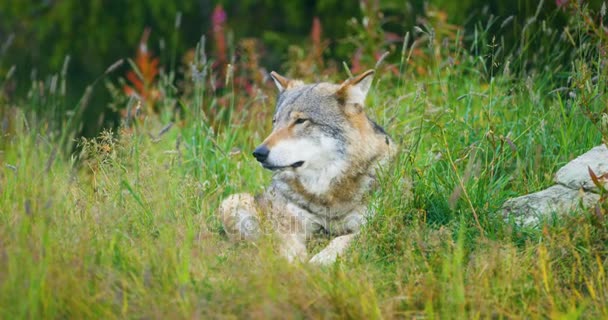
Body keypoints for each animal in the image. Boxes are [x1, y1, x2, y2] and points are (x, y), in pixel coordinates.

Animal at [221, 70, 396, 264]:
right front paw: (298, 265)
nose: (258, 153)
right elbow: (289, 247)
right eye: (275, 122)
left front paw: (321, 260)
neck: (328, 194)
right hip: (232, 202)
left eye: (300, 120)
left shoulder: (370, 225)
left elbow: (342, 240)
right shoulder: (287, 225)